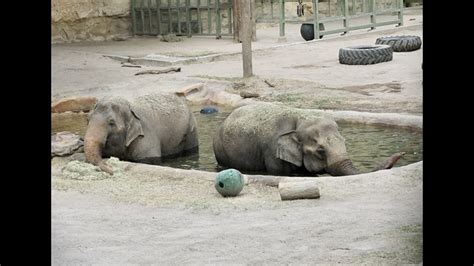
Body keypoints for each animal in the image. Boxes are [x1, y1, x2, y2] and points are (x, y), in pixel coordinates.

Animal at [215, 103, 404, 176]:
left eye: (345, 142)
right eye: (321, 151)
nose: (401, 153)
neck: (300, 118)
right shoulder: (271, 151)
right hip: (221, 152)